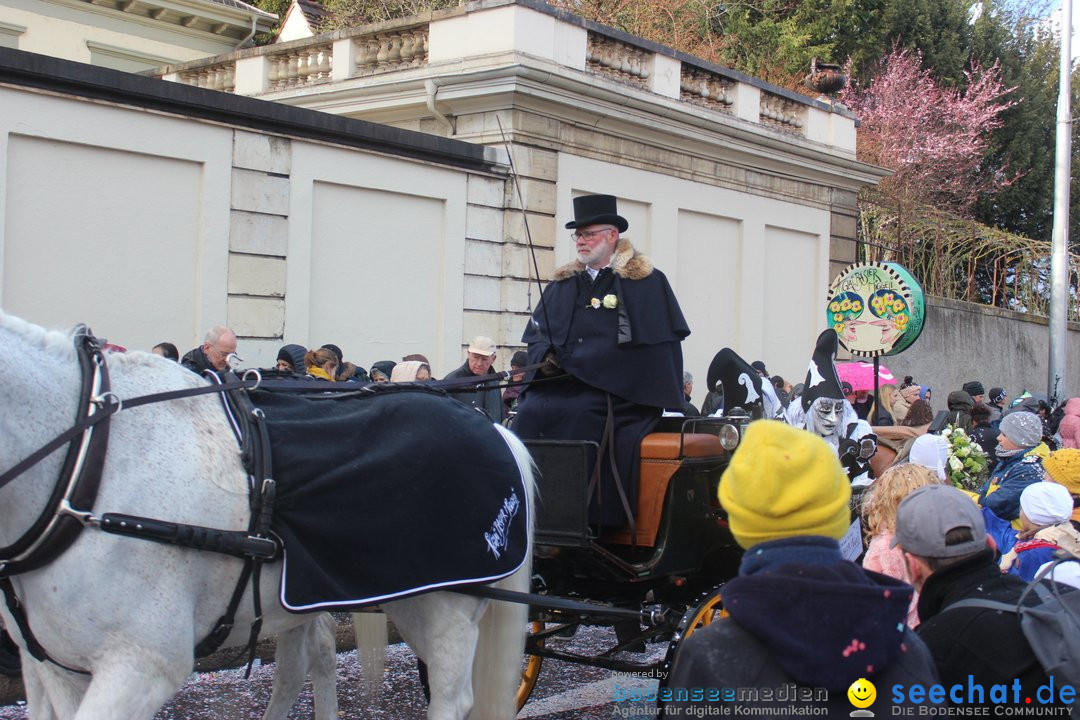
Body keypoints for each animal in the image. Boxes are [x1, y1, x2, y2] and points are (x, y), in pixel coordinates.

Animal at [0, 313, 535, 720]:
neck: (90, 463)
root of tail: (493, 428)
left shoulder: (141, 663)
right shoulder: (57, 665)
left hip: (443, 605)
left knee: (451, 697)